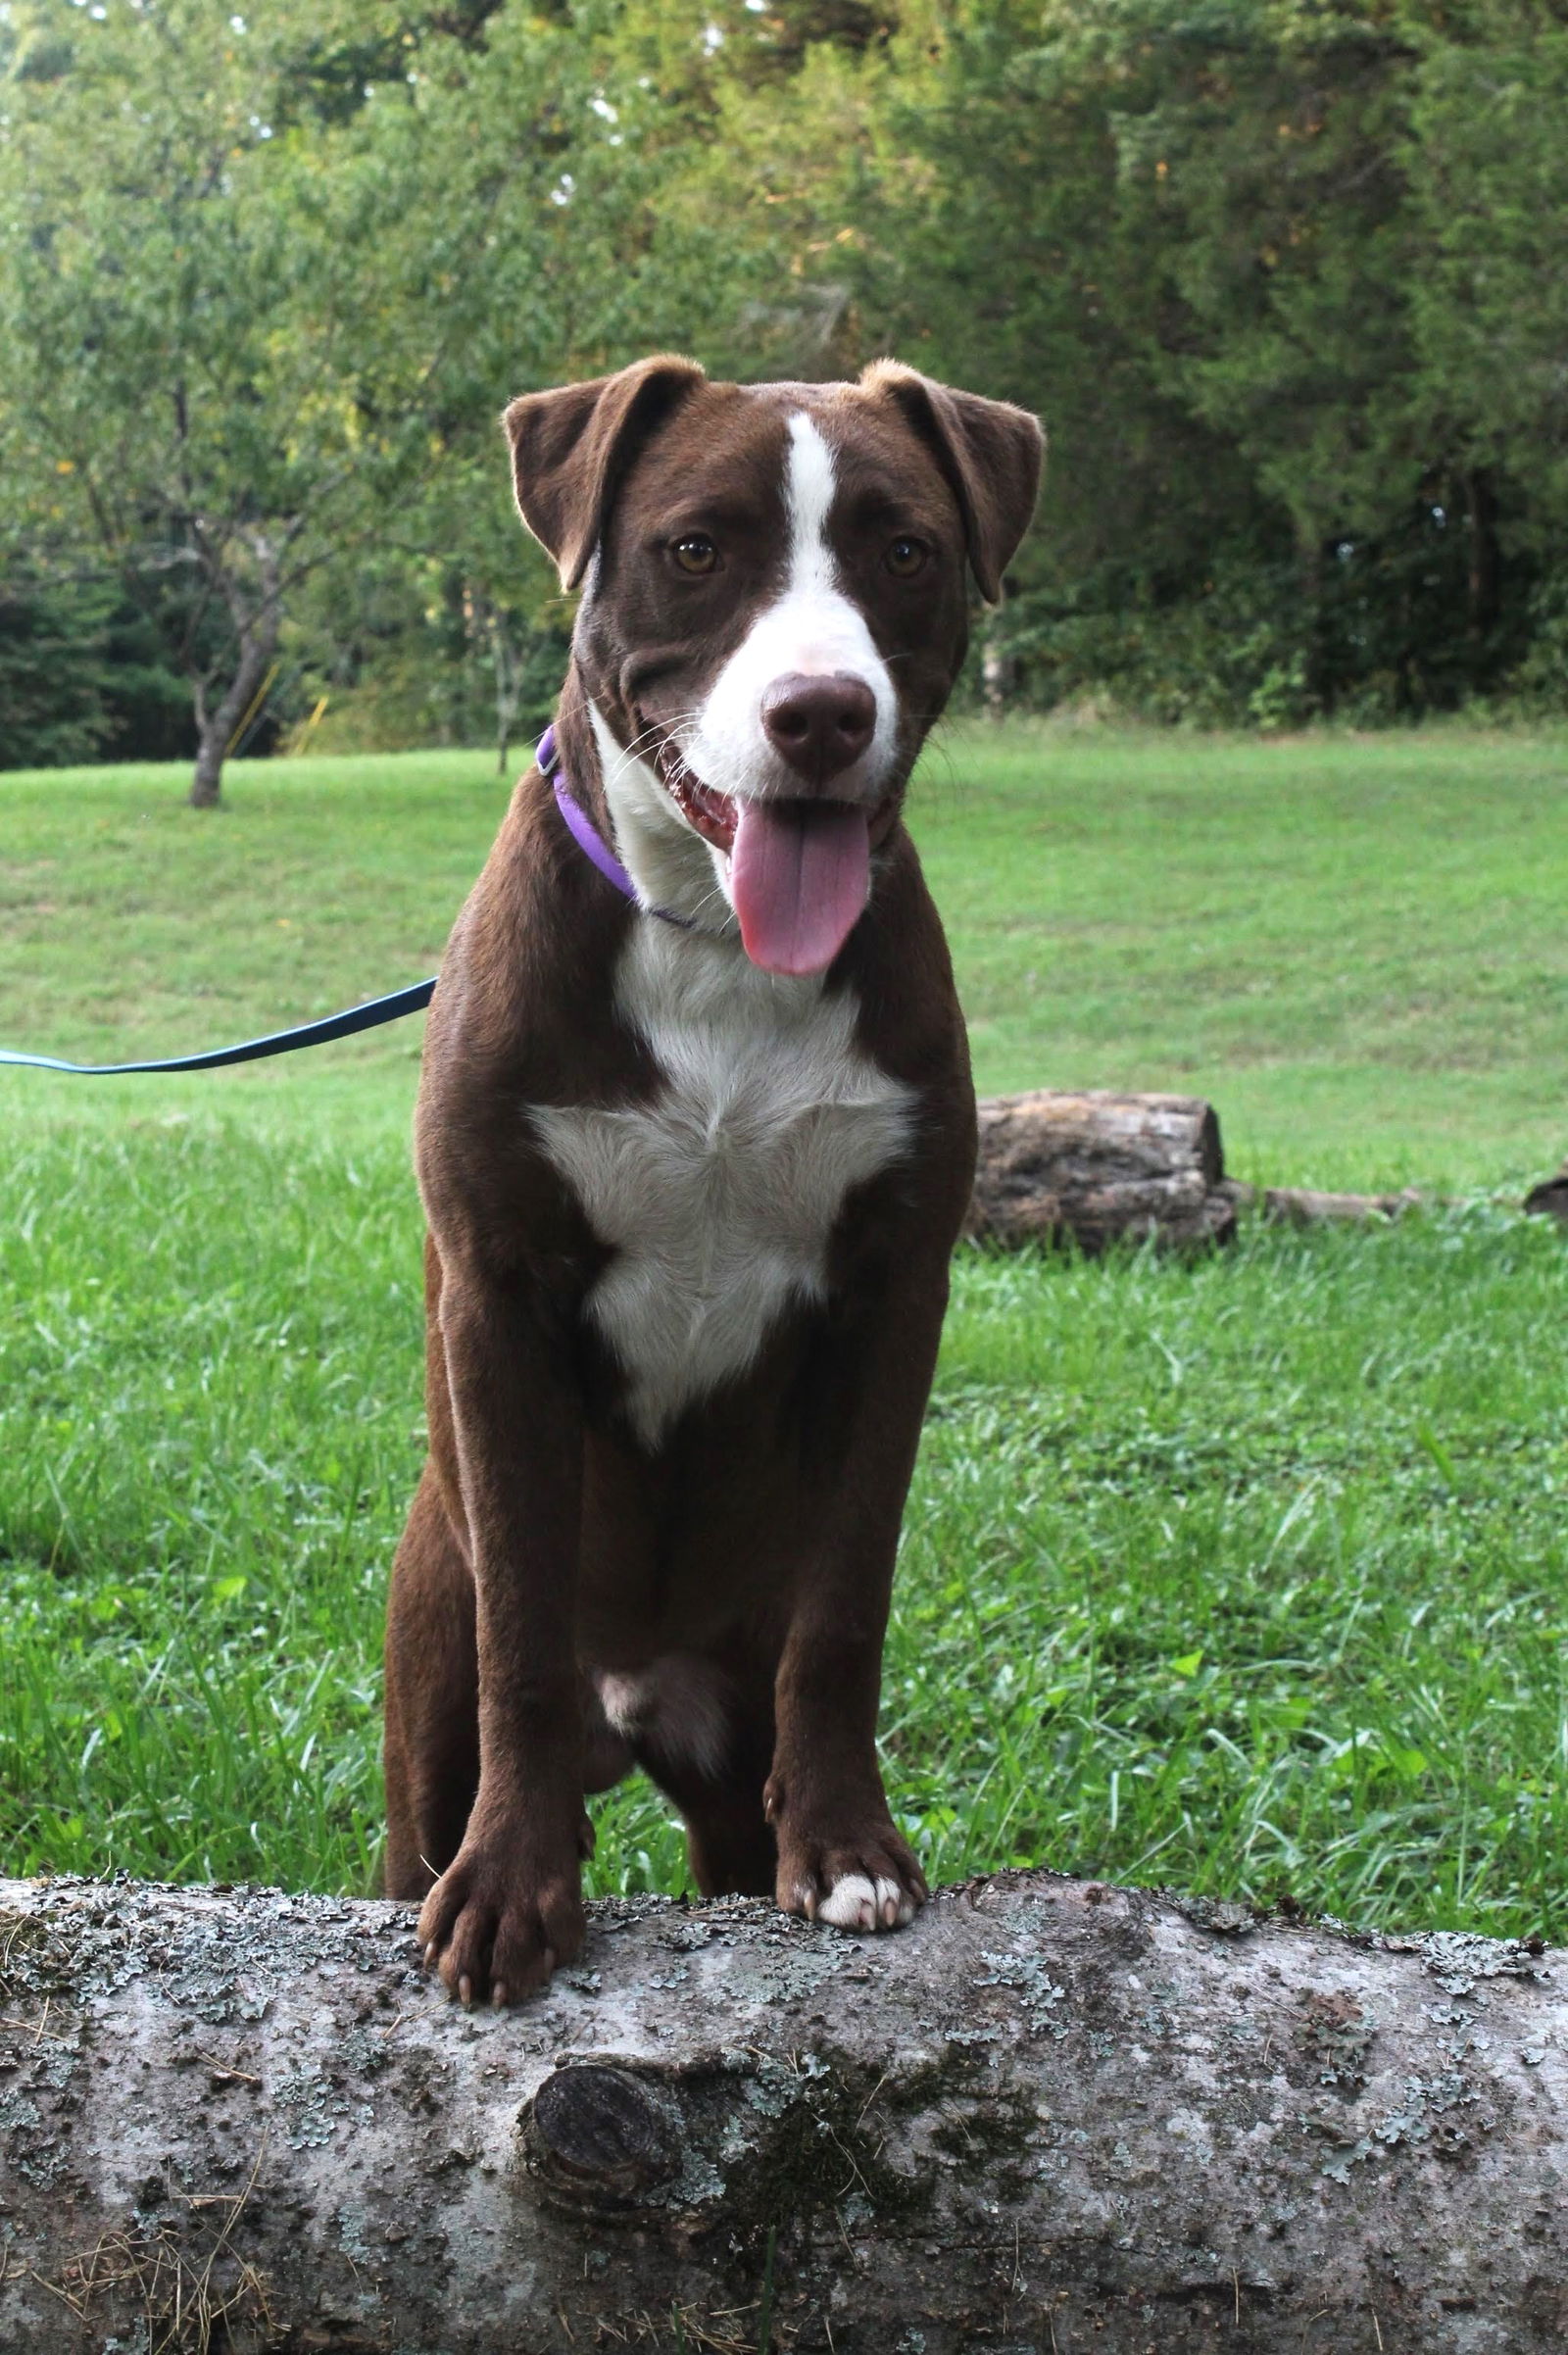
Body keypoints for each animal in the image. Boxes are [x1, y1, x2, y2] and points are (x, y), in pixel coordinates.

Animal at [381, 353, 1036, 2006]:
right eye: (694, 548)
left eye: (905, 548)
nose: (822, 713)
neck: (715, 946)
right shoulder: (499, 1292)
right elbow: (527, 1619)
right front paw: (512, 1884)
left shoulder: (891, 1294)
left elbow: (848, 1599)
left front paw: (855, 1842)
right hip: (421, 1689)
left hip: (725, 1754)